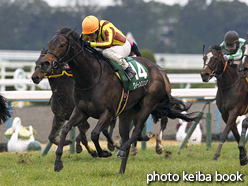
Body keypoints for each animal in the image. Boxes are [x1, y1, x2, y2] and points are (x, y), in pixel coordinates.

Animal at [39, 27, 197, 173]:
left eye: (62, 45)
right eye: (49, 43)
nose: (45, 63)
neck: (91, 77)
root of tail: (157, 69)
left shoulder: (108, 113)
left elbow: (95, 133)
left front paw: (104, 152)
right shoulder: (81, 112)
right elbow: (66, 129)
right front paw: (58, 162)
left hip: (148, 104)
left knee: (136, 132)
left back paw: (125, 149)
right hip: (127, 113)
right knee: (128, 135)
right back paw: (121, 170)